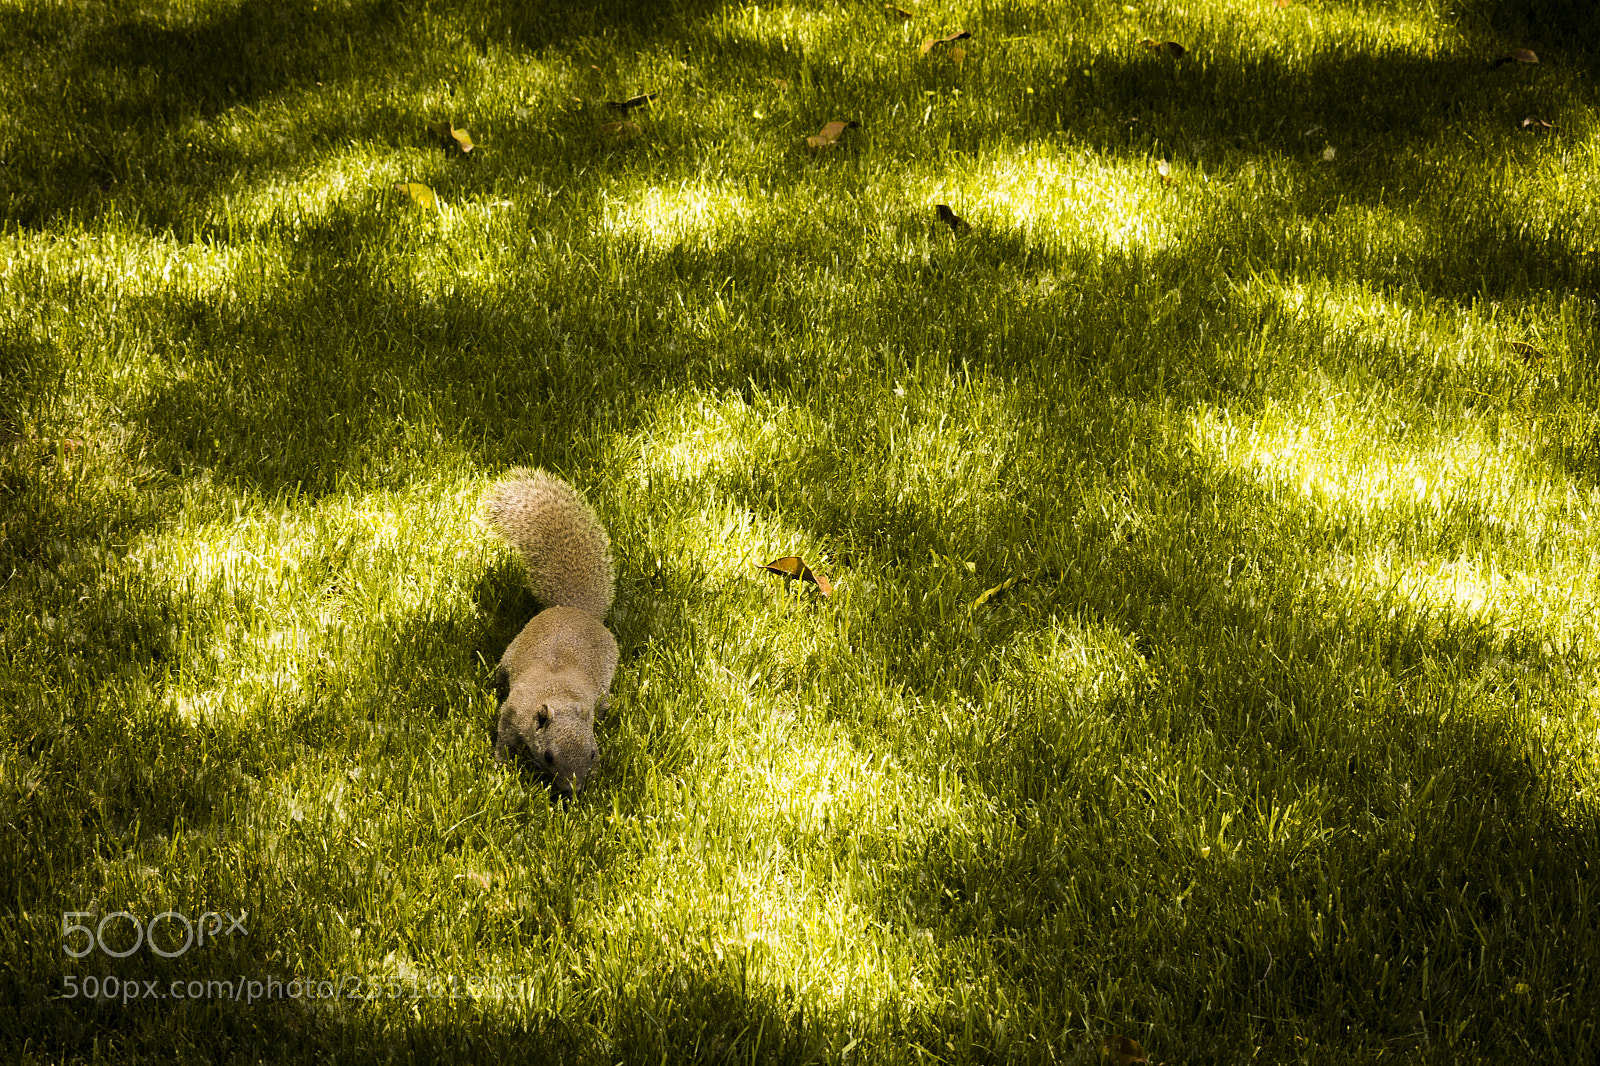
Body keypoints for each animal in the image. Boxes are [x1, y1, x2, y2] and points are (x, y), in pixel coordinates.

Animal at [484, 469, 618, 799]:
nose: (574, 790)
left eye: (593, 753)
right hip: (510, 653)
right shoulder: (512, 713)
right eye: (548, 756)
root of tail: (573, 610)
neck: (558, 695)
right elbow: (504, 739)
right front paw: (501, 765)